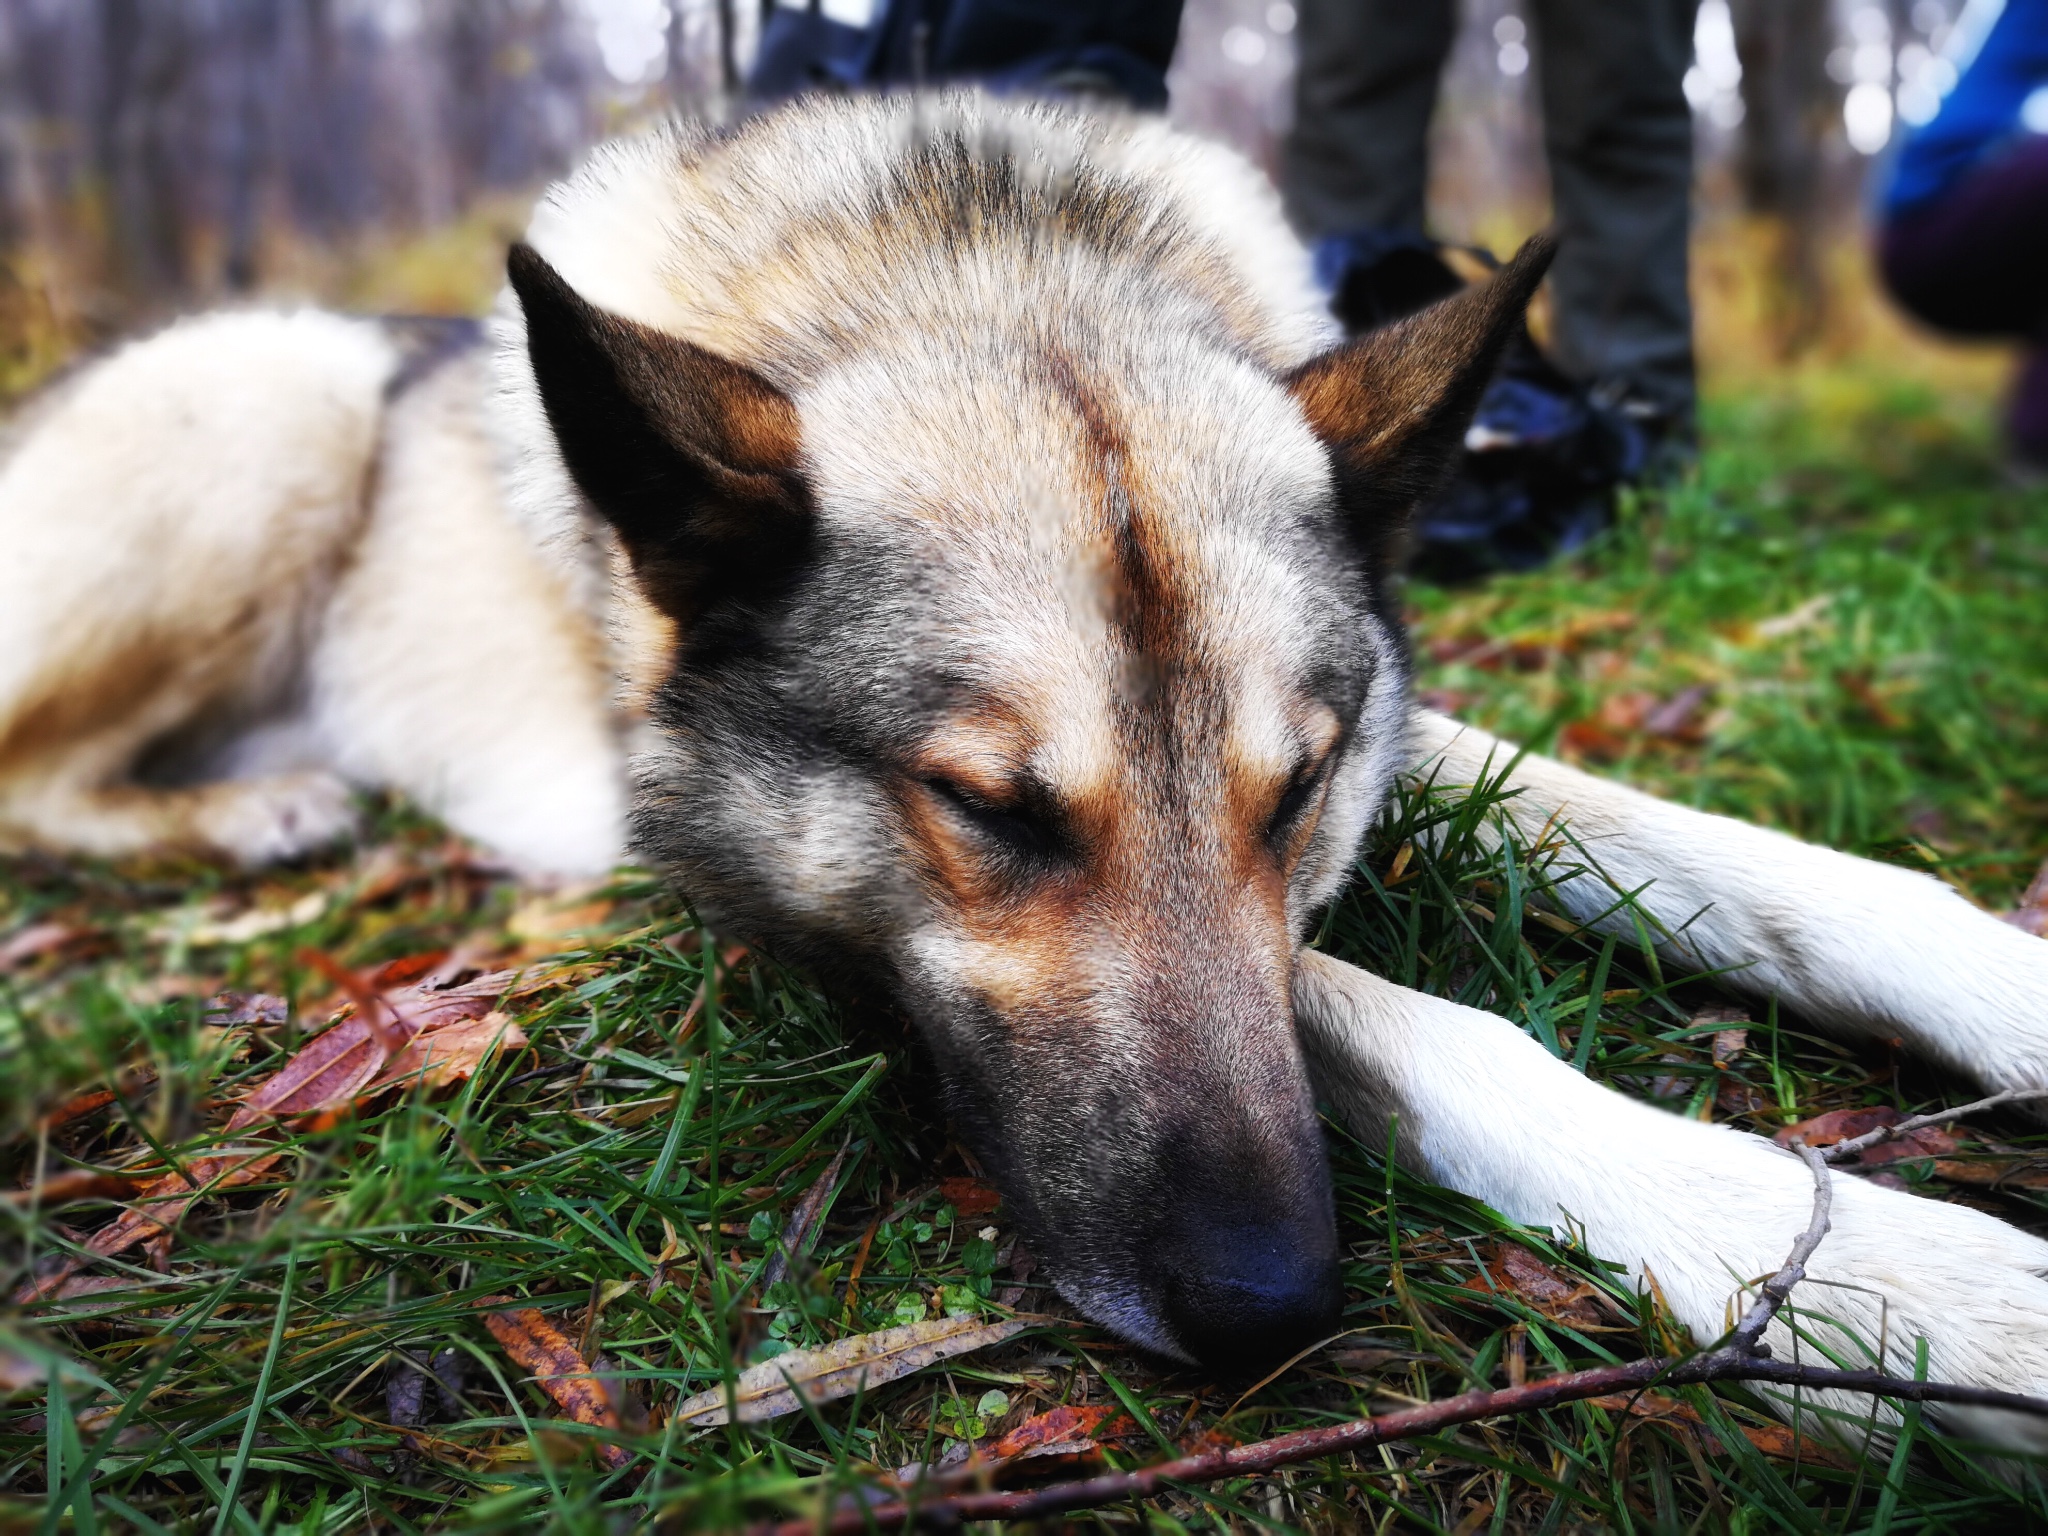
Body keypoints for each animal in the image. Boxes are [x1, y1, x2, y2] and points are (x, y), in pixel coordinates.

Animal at [12, 93, 2048, 1441]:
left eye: (1296, 792)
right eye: (989, 811)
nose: (1269, 1310)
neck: (974, 265)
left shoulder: (1403, 739)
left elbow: (1732, 856)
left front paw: (1998, 999)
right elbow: (1421, 1019)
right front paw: (1880, 1280)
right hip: (260, 424)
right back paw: (249, 810)